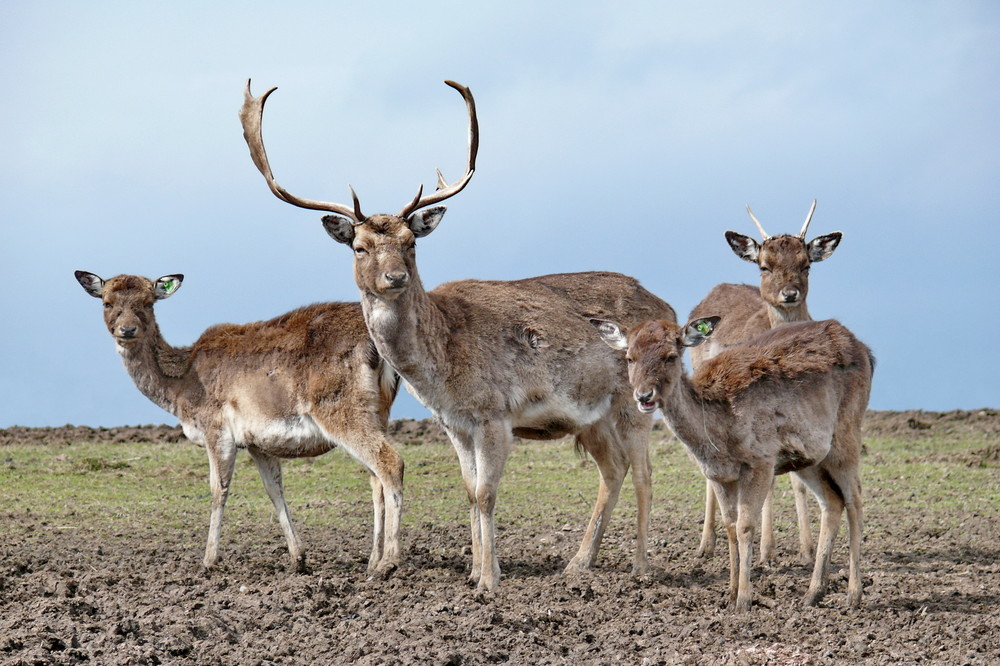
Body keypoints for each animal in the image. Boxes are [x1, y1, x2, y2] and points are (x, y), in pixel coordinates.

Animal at [74, 272, 404, 572]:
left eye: (147, 302)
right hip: (380, 411)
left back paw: (388, 562)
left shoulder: (216, 429)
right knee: (375, 477)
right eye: (107, 302)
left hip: (341, 408)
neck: (181, 389)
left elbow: (217, 488)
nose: (126, 330)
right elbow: (274, 490)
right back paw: (372, 561)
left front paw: (208, 560)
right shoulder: (258, 442)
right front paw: (298, 558)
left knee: (391, 463)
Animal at [240, 79, 680, 592]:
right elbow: (470, 491)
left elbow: (487, 493)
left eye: (411, 242)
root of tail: (667, 307)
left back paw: (641, 568)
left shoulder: (494, 413)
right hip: (592, 416)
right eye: (359, 246)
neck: (443, 367)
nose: (394, 277)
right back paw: (577, 564)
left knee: (644, 472)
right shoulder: (454, 422)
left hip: (636, 398)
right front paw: (473, 572)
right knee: (614, 469)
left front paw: (489, 581)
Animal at [596, 314, 872, 608]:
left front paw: (744, 600)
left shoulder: (762, 460)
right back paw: (812, 593)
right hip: (811, 457)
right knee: (832, 501)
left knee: (855, 498)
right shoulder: (718, 474)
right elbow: (730, 525)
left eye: (670, 356)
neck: (718, 439)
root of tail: (867, 352)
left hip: (846, 433)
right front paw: (729, 594)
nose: (644, 396)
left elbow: (745, 525)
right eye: (629, 357)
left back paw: (854, 594)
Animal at [688, 201, 844, 560]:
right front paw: (766, 551)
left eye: (806, 265)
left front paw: (806, 549)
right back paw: (705, 543)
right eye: (764, 266)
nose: (789, 293)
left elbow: (797, 479)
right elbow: (769, 482)